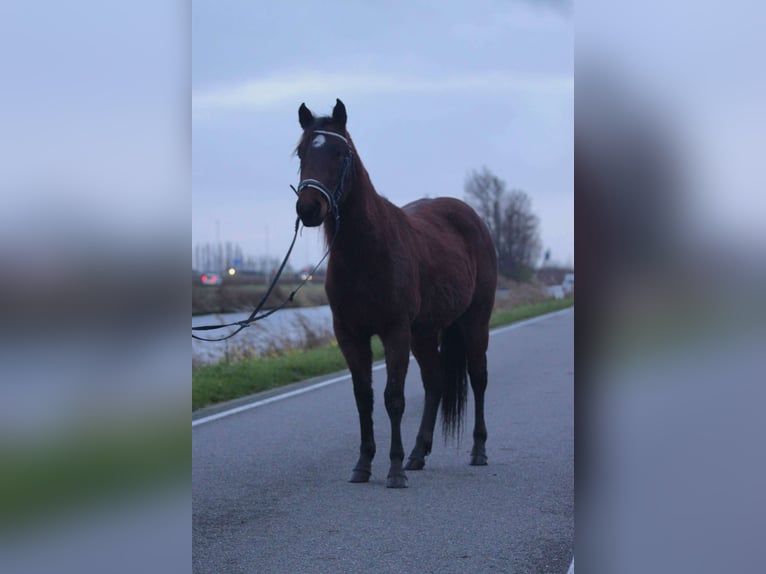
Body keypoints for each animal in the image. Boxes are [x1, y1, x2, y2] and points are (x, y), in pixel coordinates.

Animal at [292, 100, 498, 490]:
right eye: (301, 152)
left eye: (341, 153)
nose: (308, 209)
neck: (365, 253)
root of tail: (470, 216)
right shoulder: (350, 334)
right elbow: (364, 398)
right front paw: (363, 465)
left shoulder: (395, 331)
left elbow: (394, 398)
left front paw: (394, 469)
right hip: (424, 332)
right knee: (435, 382)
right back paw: (419, 453)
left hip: (474, 320)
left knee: (478, 378)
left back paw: (478, 450)